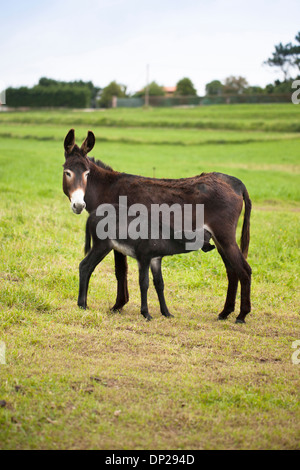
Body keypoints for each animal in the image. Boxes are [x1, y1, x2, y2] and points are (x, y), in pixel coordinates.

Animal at [63, 130, 253, 324]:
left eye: (87, 174)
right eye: (67, 172)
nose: (78, 205)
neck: (107, 188)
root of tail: (236, 183)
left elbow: (120, 270)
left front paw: (118, 305)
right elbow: (124, 271)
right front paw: (122, 305)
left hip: (224, 236)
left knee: (244, 270)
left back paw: (241, 315)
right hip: (218, 238)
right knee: (232, 270)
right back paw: (225, 312)